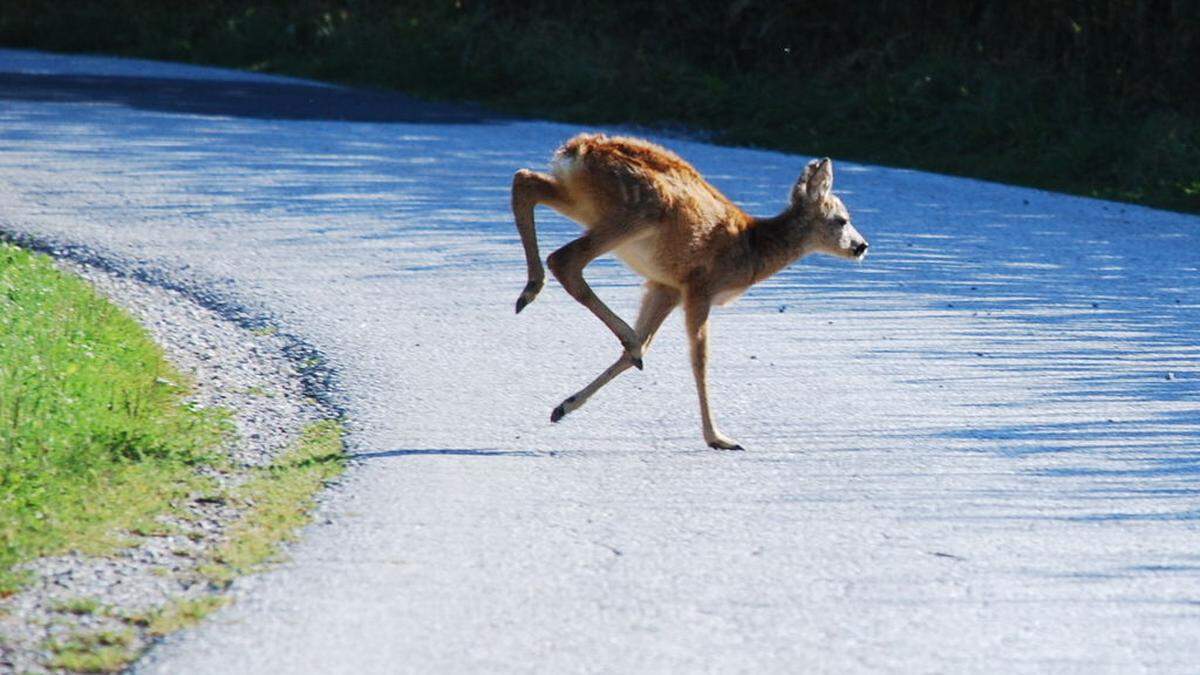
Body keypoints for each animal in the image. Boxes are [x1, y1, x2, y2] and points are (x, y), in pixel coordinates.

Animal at [511, 132, 868, 449]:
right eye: (841, 219)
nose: (861, 246)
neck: (750, 248)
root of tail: (578, 150)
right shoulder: (699, 285)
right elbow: (700, 359)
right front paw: (718, 438)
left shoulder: (667, 286)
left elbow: (643, 347)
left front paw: (563, 406)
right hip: (637, 212)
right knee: (564, 258)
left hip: (585, 203)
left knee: (525, 180)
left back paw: (534, 293)